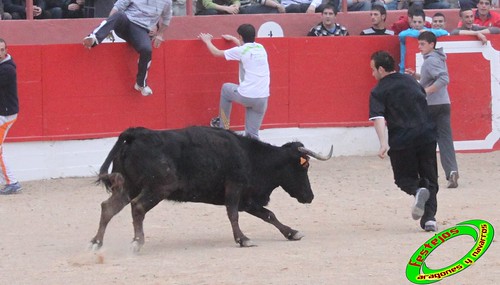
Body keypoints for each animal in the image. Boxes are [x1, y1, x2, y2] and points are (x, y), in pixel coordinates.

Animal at [91, 125, 332, 250]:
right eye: (303, 167)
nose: (310, 196)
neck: (250, 156)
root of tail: (135, 134)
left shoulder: (247, 199)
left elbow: (269, 215)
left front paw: (292, 232)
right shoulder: (235, 188)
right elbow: (233, 214)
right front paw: (243, 239)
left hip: (127, 186)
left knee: (107, 207)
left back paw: (96, 242)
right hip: (157, 188)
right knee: (138, 207)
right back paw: (137, 242)